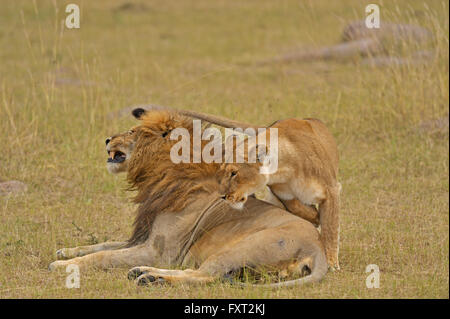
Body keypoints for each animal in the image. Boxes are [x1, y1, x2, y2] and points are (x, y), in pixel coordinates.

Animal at [49, 110, 326, 288]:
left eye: (131, 131)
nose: (107, 139)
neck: (164, 176)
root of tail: (318, 249)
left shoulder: (158, 252)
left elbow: (103, 256)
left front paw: (63, 265)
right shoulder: (142, 238)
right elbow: (103, 245)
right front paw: (66, 251)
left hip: (238, 248)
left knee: (205, 276)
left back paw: (150, 278)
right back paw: (144, 273)